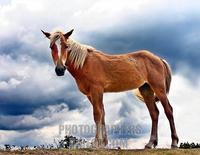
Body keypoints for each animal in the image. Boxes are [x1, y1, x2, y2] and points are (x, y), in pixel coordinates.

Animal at [41, 28, 179, 148]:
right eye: (51, 47)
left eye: (65, 46)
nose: (60, 69)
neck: (85, 63)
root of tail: (158, 59)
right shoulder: (90, 94)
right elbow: (102, 114)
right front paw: (103, 143)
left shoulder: (96, 90)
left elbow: (97, 114)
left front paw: (96, 143)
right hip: (146, 90)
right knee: (154, 113)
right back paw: (150, 143)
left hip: (159, 89)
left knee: (168, 110)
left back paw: (174, 142)